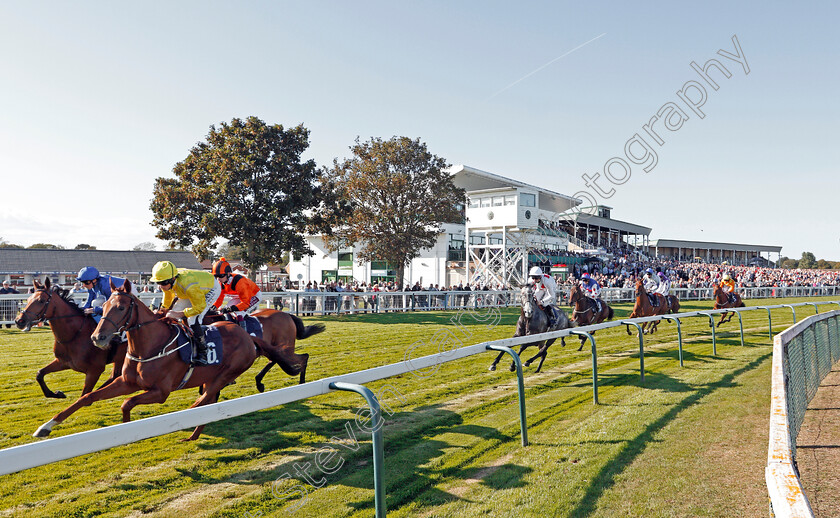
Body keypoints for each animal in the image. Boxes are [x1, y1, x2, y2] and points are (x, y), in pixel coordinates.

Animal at [31, 282, 280, 440]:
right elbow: (87, 397)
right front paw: (45, 426)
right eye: (105, 306)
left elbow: (126, 403)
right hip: (211, 378)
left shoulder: (160, 392)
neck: (148, 346)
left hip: (226, 374)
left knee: (204, 401)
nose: (97, 337)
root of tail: (247, 335)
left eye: (120, 307)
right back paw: (192, 433)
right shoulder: (126, 382)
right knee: (208, 402)